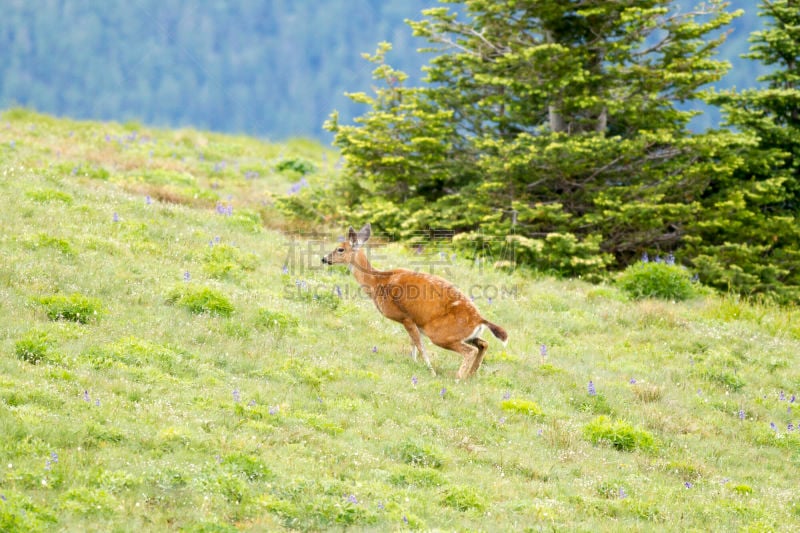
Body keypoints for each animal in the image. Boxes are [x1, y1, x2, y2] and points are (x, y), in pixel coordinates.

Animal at [322, 222, 510, 380]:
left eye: (340, 249)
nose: (324, 259)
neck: (378, 283)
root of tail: (479, 319)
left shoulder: (405, 317)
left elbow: (419, 346)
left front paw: (430, 371)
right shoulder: (414, 322)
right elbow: (413, 344)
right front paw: (415, 365)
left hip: (440, 333)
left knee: (469, 351)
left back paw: (458, 378)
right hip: (463, 334)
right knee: (483, 344)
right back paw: (470, 375)